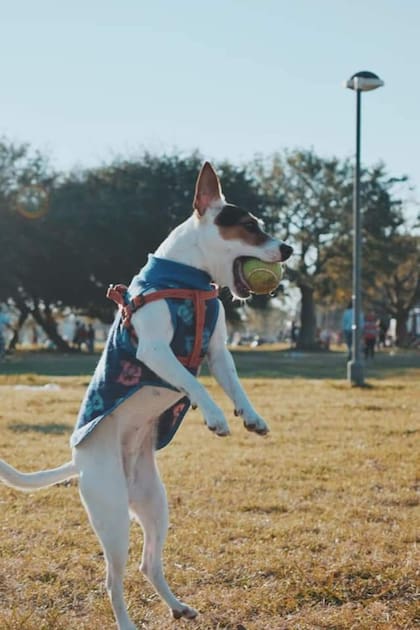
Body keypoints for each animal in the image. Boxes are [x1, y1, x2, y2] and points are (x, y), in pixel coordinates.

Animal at [0, 164, 294, 630]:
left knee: (148, 564)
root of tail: (80, 463)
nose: (288, 248)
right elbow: (194, 383)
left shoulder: (217, 351)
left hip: (154, 505)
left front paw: (251, 416)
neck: (189, 281)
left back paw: (178, 606)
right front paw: (215, 416)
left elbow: (233, 384)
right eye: (249, 227)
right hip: (113, 517)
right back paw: (126, 622)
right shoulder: (155, 351)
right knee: (112, 580)